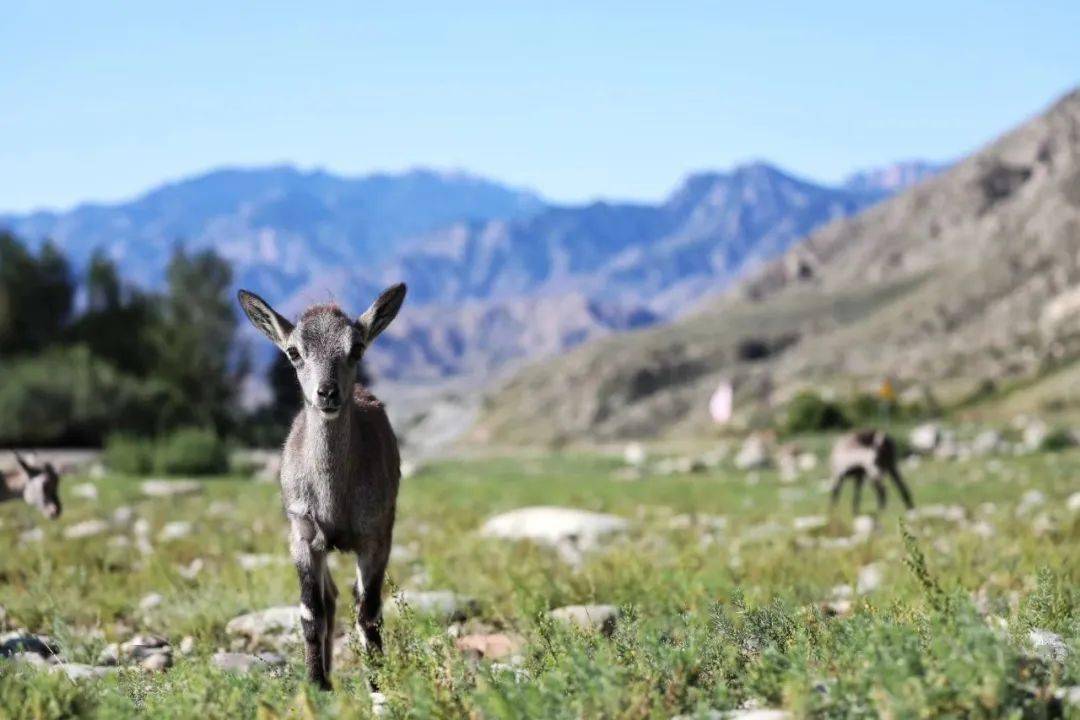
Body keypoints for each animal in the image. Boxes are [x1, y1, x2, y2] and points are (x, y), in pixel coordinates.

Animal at [236, 282, 406, 690]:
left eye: (356, 347)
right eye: (294, 352)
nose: (327, 393)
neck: (335, 499)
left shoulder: (376, 537)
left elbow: (369, 612)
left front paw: (378, 685)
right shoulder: (302, 535)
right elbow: (311, 612)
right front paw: (315, 685)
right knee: (328, 599)